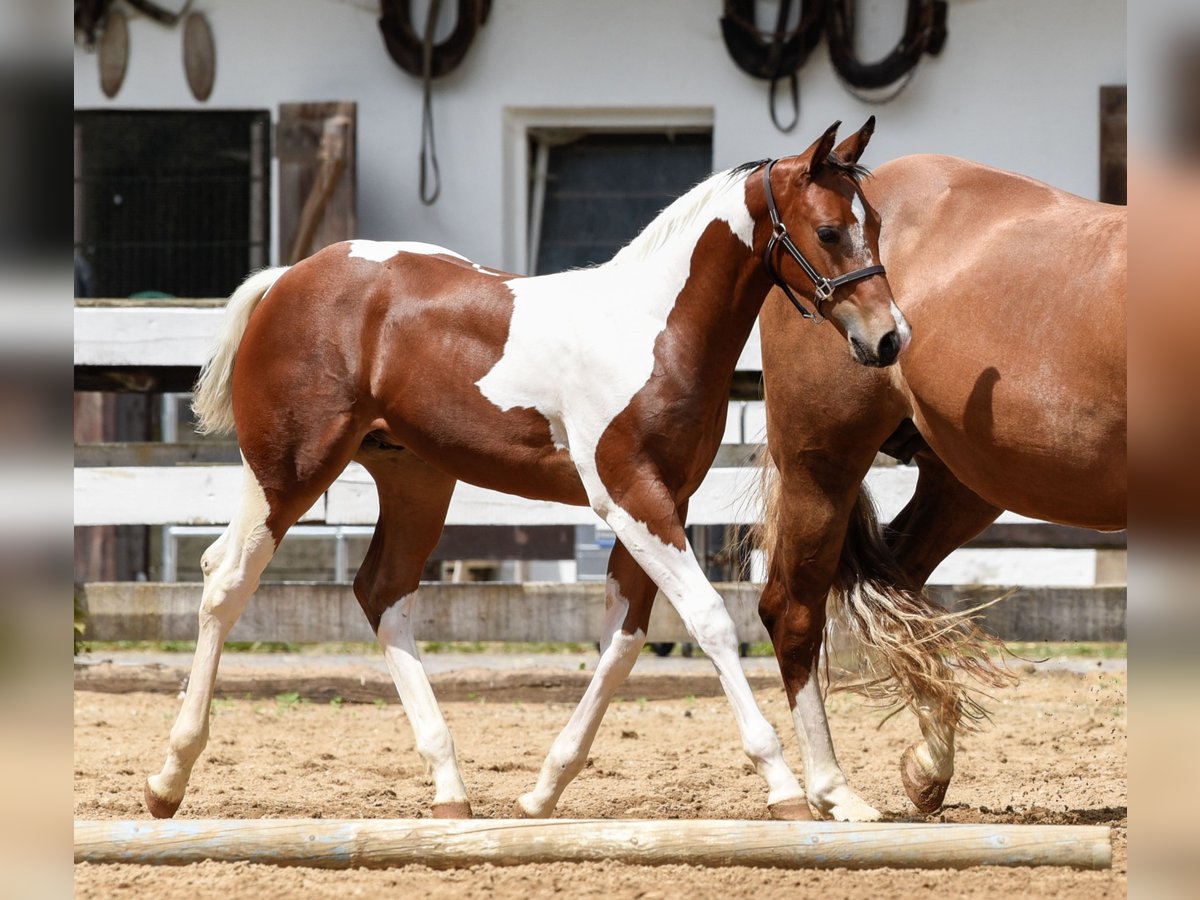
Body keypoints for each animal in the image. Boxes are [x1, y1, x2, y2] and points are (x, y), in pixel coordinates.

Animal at [142, 118, 907, 825]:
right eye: (830, 231)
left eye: (874, 225)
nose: (890, 338)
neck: (650, 327)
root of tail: (288, 279)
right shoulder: (629, 497)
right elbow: (710, 619)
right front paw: (785, 788)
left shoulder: (666, 502)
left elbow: (625, 639)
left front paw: (543, 790)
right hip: (288, 470)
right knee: (226, 579)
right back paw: (167, 779)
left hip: (416, 478)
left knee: (381, 592)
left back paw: (450, 788)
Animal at [758, 151, 1123, 820]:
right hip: (820, 469)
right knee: (792, 612)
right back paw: (830, 792)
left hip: (961, 483)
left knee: (903, 586)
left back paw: (927, 766)